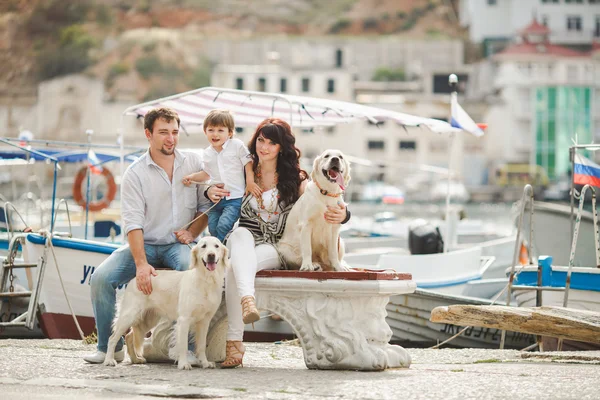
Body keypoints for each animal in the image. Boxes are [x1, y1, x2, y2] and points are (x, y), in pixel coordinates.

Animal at [103, 236, 230, 370]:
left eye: (216, 246)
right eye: (203, 246)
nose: (211, 255)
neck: (206, 280)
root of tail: (136, 278)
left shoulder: (205, 321)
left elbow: (201, 345)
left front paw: (205, 363)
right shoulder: (184, 319)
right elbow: (183, 345)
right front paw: (184, 364)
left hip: (148, 319)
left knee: (129, 336)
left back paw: (136, 359)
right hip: (129, 315)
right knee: (112, 338)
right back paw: (109, 360)